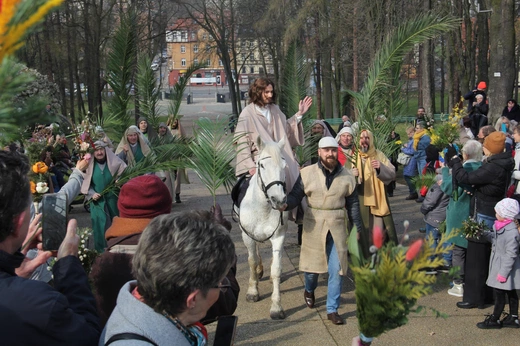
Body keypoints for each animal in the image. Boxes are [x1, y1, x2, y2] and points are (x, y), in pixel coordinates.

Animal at [239, 137, 288, 320]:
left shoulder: (278, 236)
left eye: (284, 165)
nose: (279, 200)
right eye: (262, 165)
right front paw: (253, 292)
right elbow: (251, 261)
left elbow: (276, 270)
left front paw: (276, 307)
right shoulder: (247, 235)